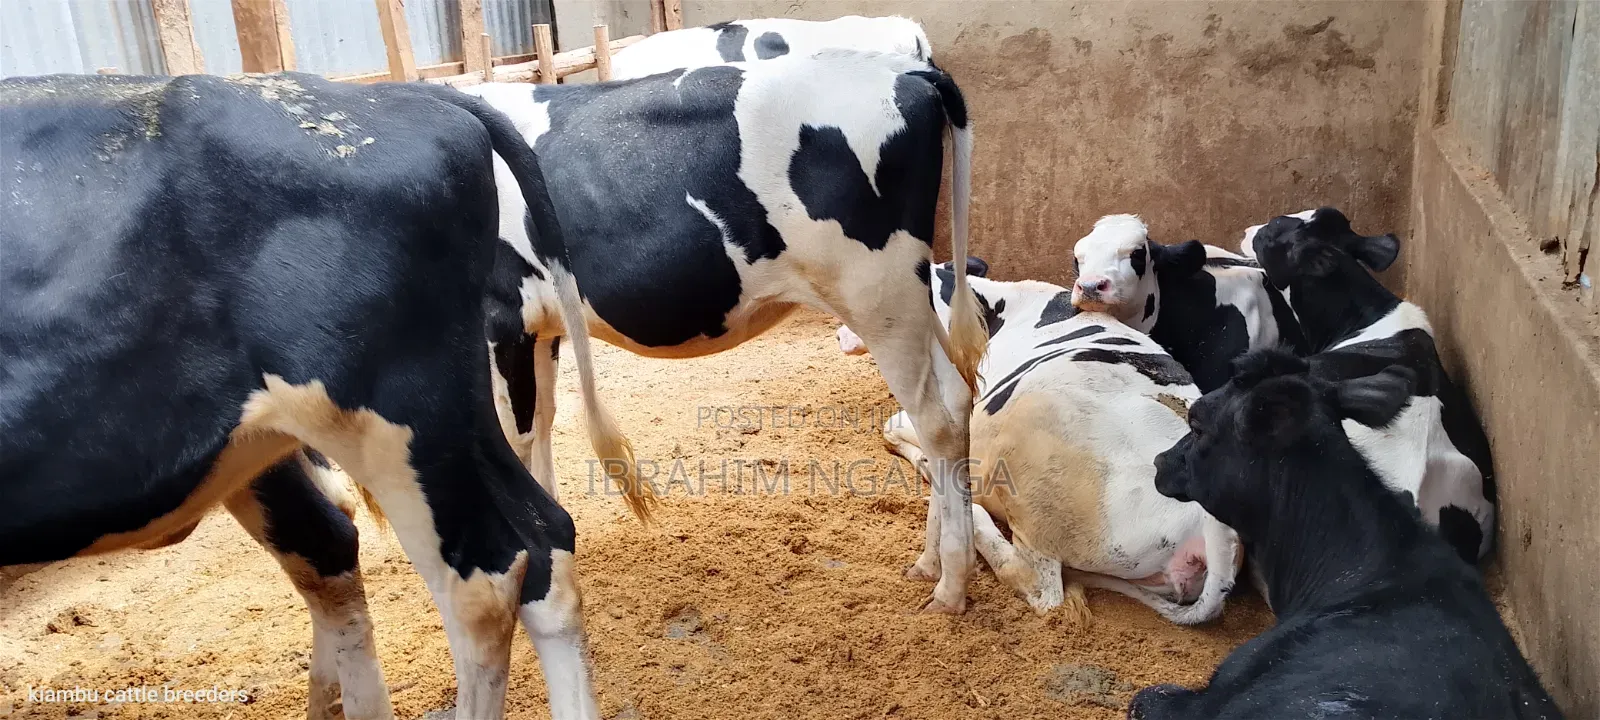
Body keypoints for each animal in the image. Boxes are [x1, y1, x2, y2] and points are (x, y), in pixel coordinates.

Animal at [464, 50, 988, 612]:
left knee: (937, 422)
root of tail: (904, 69)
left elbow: (514, 445)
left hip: (879, 291)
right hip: (908, 296)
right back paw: (929, 562)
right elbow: (541, 429)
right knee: (956, 397)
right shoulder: (539, 327)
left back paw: (951, 587)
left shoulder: (500, 318)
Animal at [841, 261, 1242, 624]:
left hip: (1032, 457)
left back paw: (975, 516)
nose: (841, 334)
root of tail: (1211, 525)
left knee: (1039, 585)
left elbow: (893, 425)